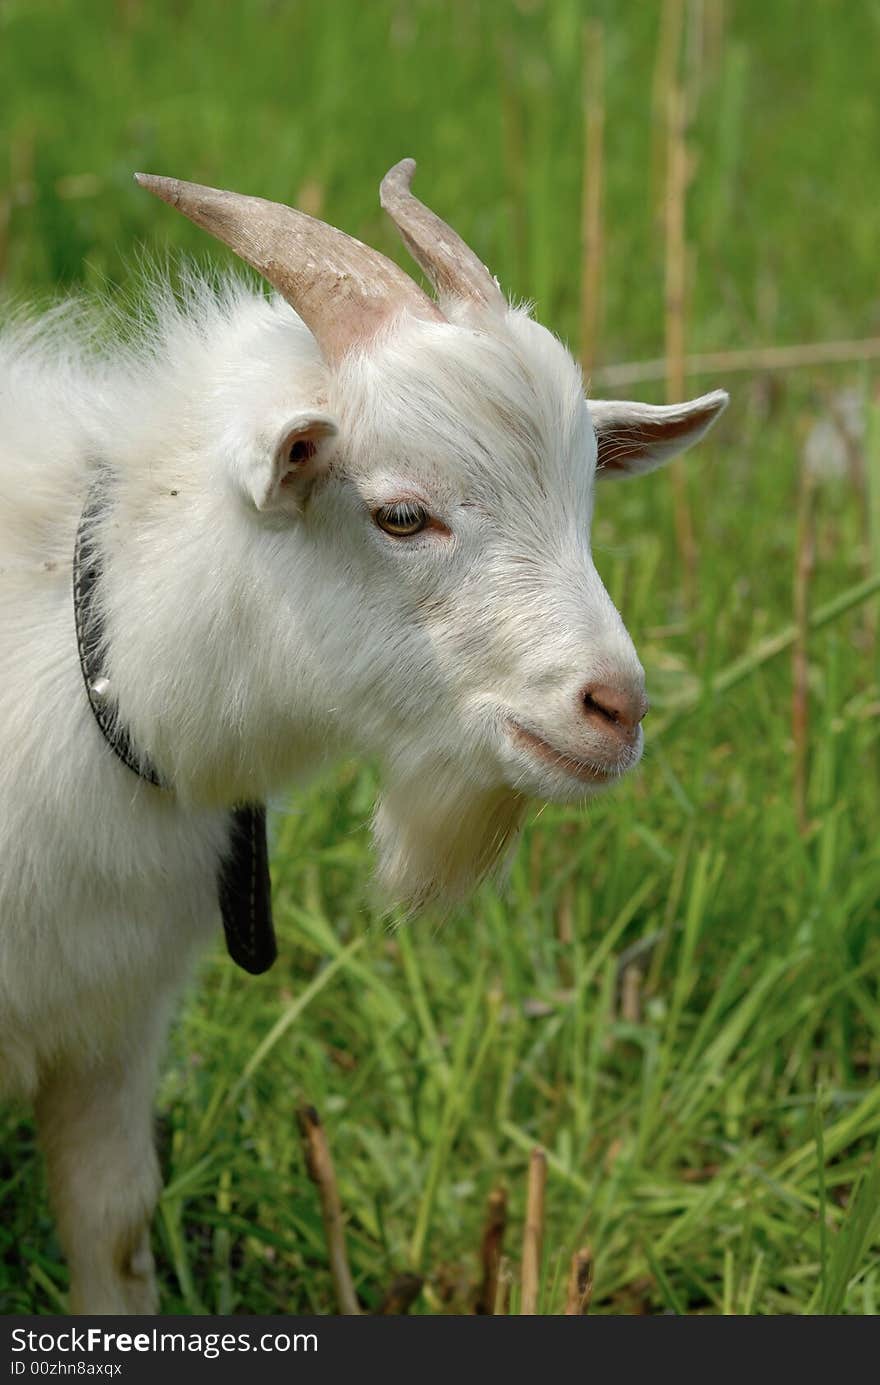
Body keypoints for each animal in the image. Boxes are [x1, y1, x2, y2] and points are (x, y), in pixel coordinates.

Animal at [0, 162, 731, 1307]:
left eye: (584, 497)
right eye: (400, 514)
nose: (615, 707)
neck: (86, 651)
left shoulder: (110, 1020)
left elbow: (113, 1223)